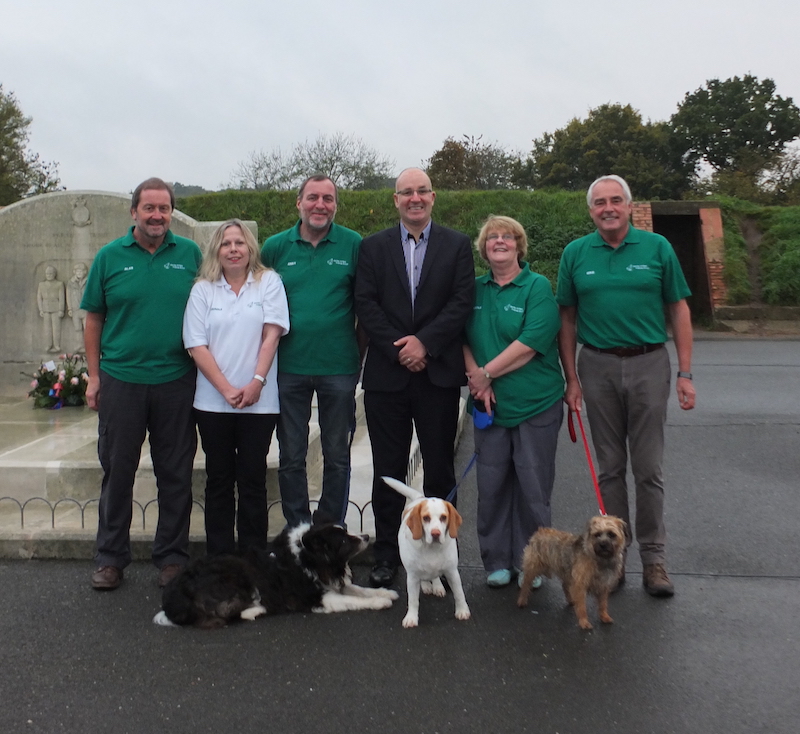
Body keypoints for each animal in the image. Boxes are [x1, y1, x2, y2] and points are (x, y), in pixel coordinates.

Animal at [152, 520, 396, 628]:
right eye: (344, 541)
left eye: (346, 532)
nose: (366, 536)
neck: (311, 558)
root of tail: (173, 601)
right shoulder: (318, 598)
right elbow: (354, 600)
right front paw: (379, 602)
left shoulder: (331, 583)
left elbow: (359, 589)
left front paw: (386, 593)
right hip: (239, 573)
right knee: (228, 614)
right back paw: (257, 609)